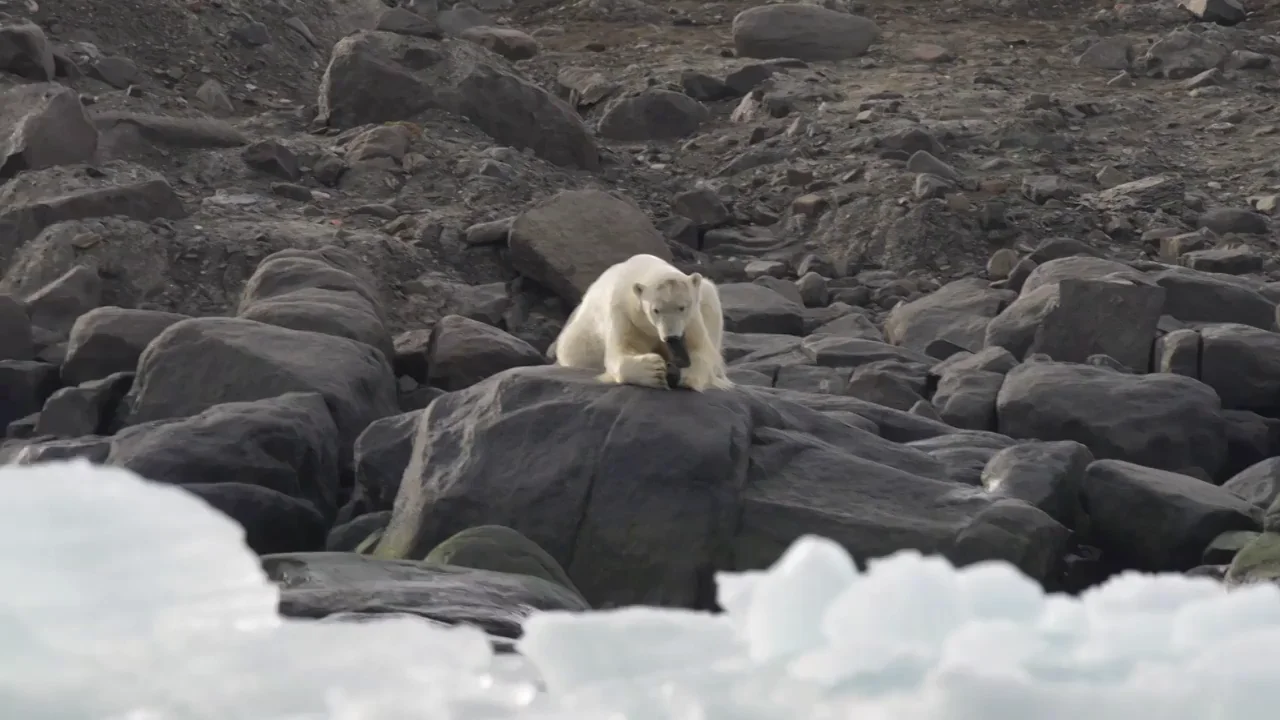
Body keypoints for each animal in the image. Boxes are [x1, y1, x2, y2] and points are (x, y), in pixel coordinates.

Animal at [551, 253, 733, 392]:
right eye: (655, 310)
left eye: (682, 307)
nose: (671, 337)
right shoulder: (625, 315)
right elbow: (620, 352)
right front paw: (655, 370)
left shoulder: (691, 320)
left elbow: (702, 350)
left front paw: (685, 374)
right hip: (579, 339)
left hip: (708, 298)